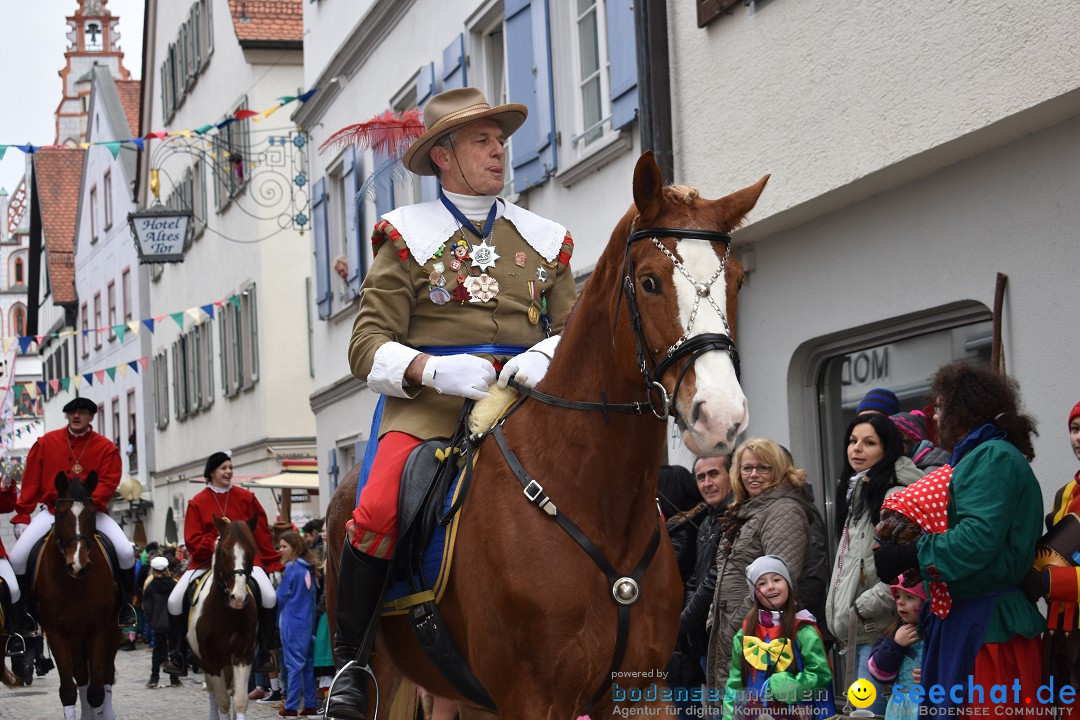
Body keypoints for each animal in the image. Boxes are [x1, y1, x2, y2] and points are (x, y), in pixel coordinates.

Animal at [36, 472, 118, 720]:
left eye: (91, 514)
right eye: (61, 514)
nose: (78, 565)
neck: (74, 585)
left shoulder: (99, 631)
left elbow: (97, 691)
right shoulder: (56, 634)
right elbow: (69, 690)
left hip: (112, 631)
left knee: (106, 676)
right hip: (75, 639)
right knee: (81, 676)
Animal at [187, 515, 259, 720]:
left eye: (252, 550)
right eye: (223, 552)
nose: (238, 598)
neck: (226, 614)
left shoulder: (243, 656)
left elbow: (240, 700)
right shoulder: (211, 661)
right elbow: (222, 701)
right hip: (203, 662)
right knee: (213, 694)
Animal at [321, 148, 768, 716]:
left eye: (738, 279)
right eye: (649, 281)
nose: (721, 415)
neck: (595, 498)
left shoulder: (642, 689)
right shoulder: (531, 697)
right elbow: (370, 338)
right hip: (385, 666)